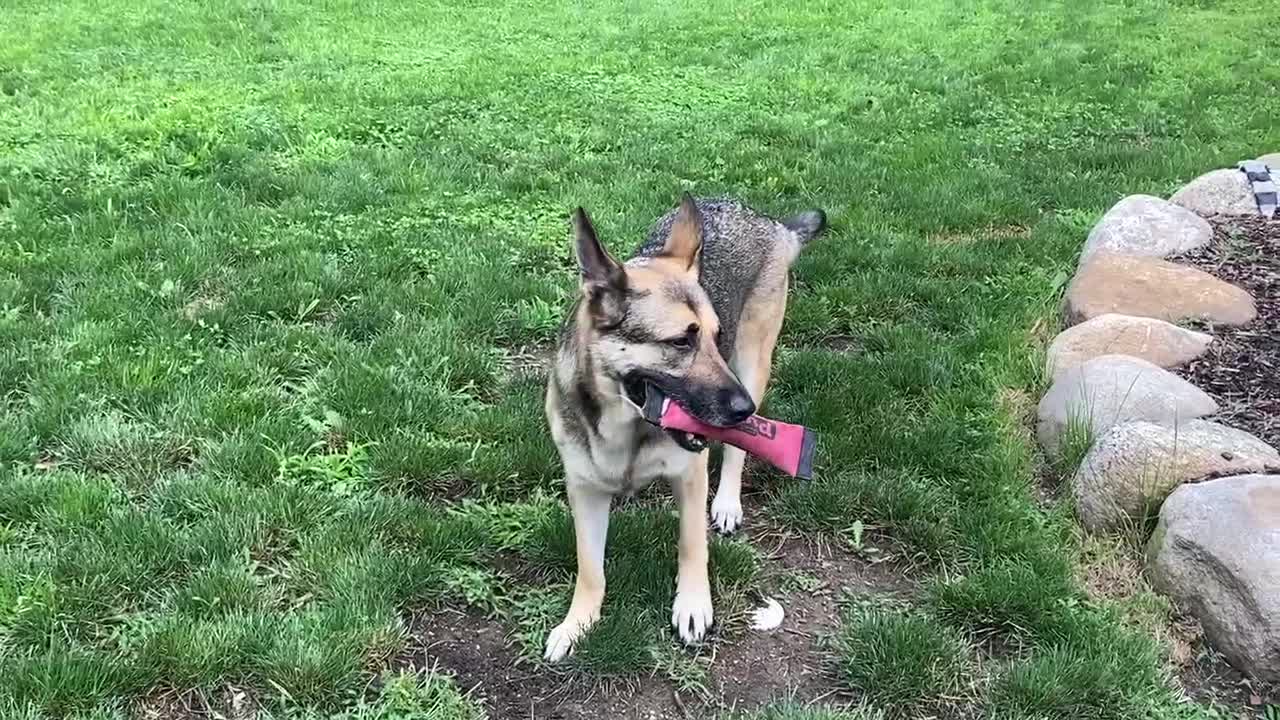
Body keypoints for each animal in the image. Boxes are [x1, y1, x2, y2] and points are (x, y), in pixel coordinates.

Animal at [542, 193, 824, 661]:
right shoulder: (584, 491)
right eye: (680, 341)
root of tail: (768, 222)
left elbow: (692, 545)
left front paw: (693, 605)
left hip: (752, 362)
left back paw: (727, 502)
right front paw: (578, 622)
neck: (626, 428)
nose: (745, 411)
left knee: (736, 452)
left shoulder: (690, 474)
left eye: (715, 335)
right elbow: (590, 568)